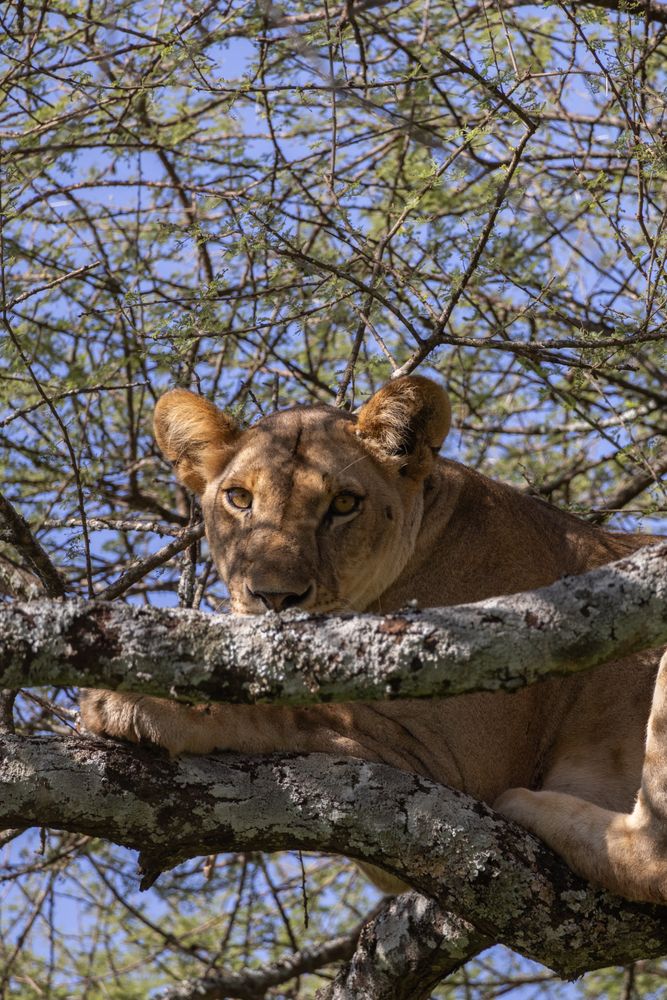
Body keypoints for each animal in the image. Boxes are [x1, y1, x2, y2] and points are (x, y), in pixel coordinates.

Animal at [81, 375, 667, 902]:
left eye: (343, 504)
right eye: (239, 498)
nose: (273, 596)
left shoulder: (448, 763)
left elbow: (293, 712)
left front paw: (136, 700)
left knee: (652, 858)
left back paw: (529, 807)